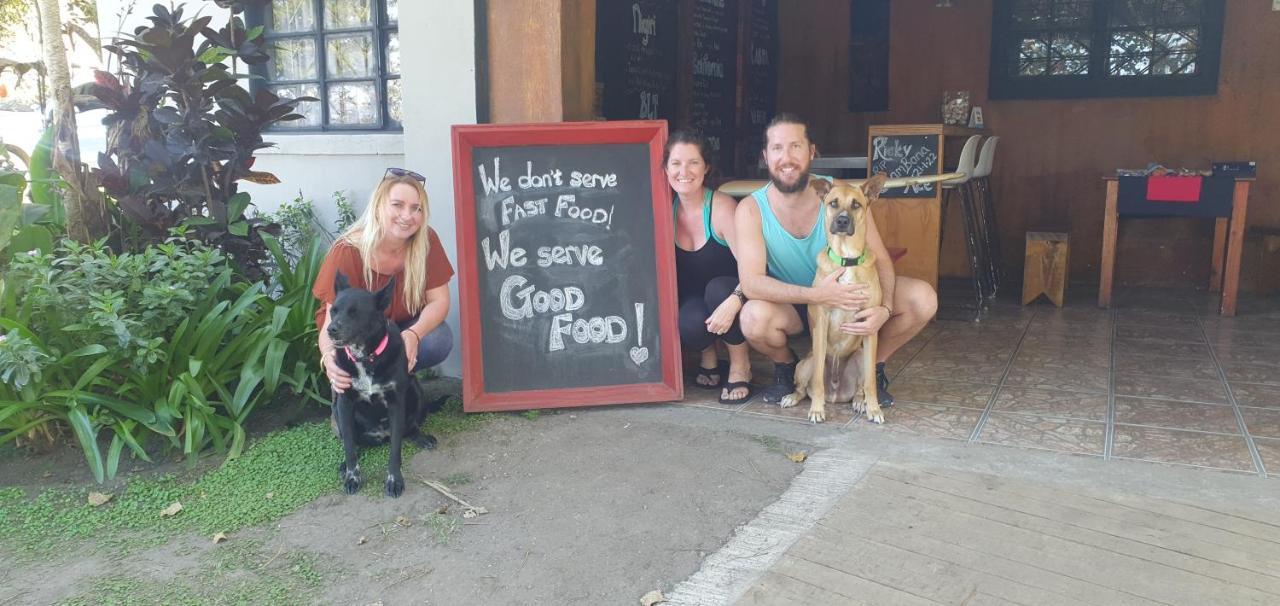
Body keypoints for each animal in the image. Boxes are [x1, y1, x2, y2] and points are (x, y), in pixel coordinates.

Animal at [327, 272, 437, 497]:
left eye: (354, 313)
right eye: (333, 310)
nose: (331, 330)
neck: (365, 358)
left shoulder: (396, 403)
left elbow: (395, 450)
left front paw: (394, 480)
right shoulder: (344, 402)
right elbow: (349, 446)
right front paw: (352, 476)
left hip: (416, 392)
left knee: (409, 428)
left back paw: (421, 437)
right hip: (335, 408)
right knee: (354, 441)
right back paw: (344, 465)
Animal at [778, 172, 890, 422]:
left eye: (856, 205)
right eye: (833, 203)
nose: (842, 221)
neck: (847, 260)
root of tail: (836, 394)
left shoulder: (869, 326)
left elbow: (871, 383)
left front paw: (874, 409)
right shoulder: (821, 322)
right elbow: (818, 379)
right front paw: (817, 410)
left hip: (860, 357)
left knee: (860, 387)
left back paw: (859, 402)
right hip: (806, 363)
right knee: (804, 387)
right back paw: (792, 397)